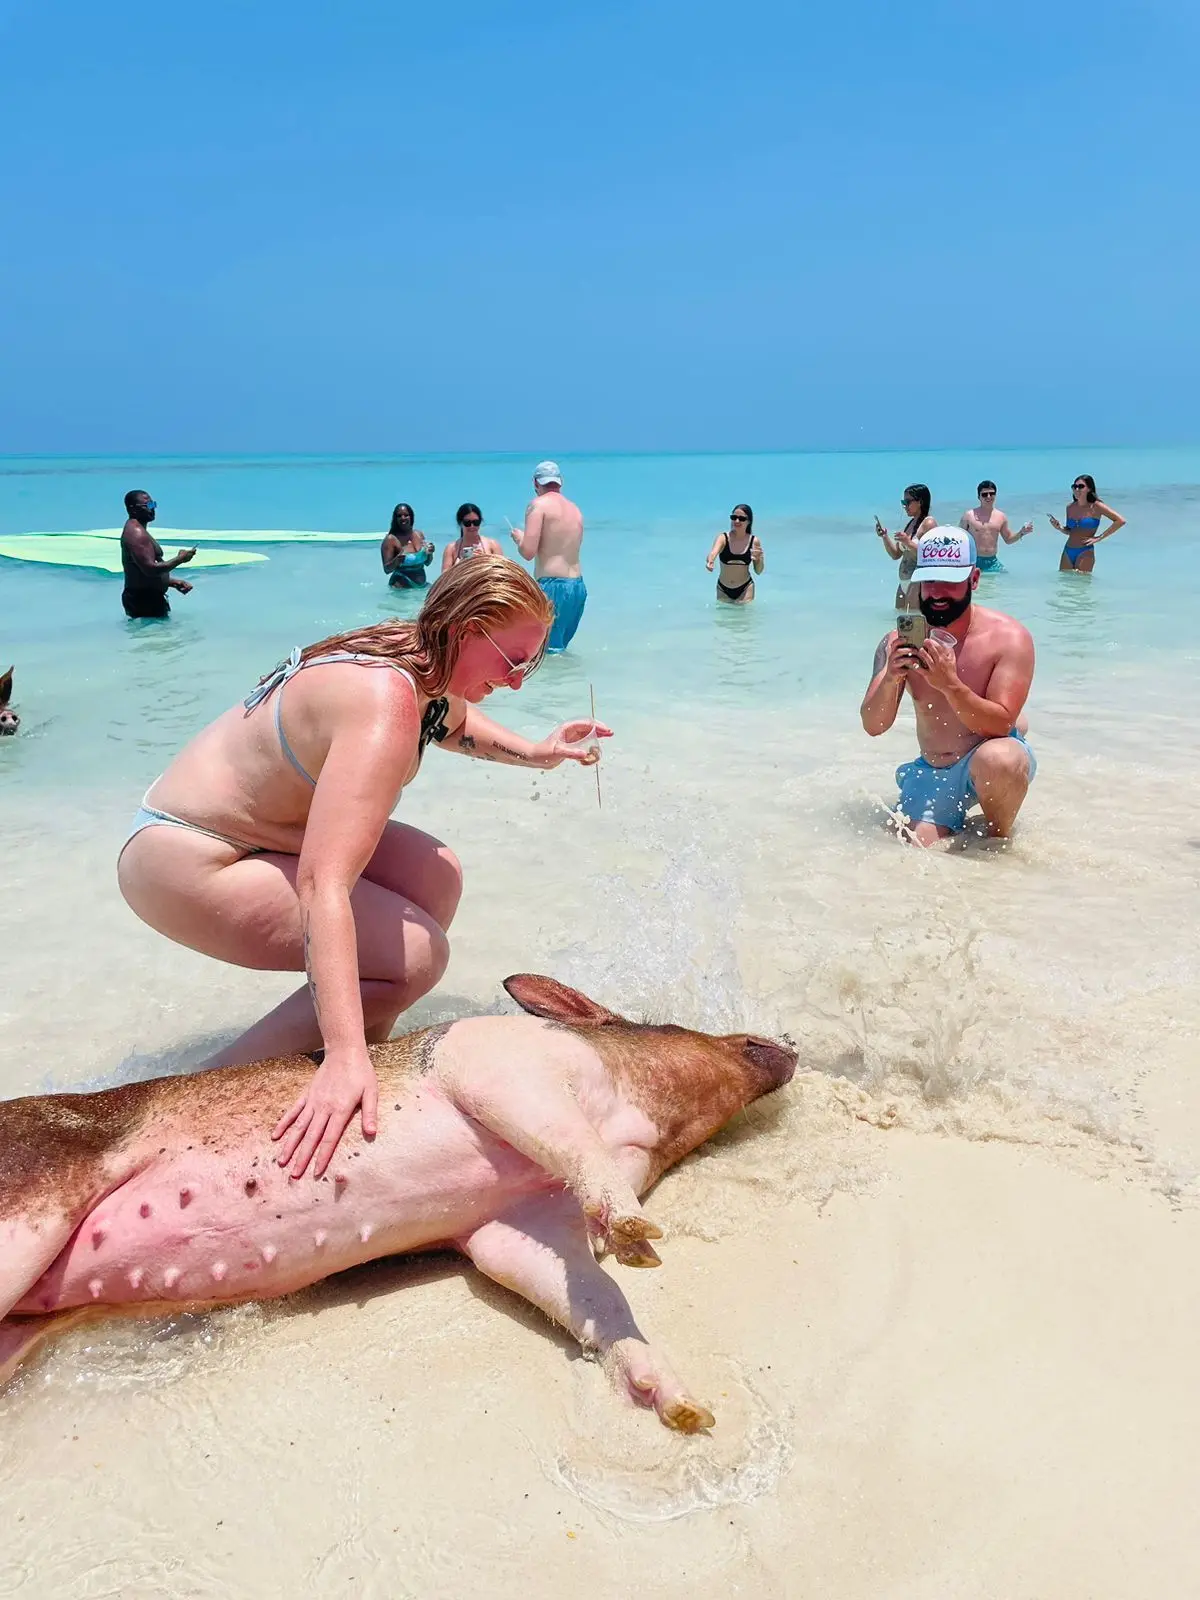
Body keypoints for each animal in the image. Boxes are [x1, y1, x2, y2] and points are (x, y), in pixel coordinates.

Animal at [0, 975, 796, 1430]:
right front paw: (634, 1230)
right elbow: (573, 1144)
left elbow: (595, 1298)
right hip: (26, 1204)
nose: (788, 1041)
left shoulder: (512, 1227)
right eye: (671, 1022)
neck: (640, 1122)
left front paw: (682, 1406)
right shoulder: (495, 1063)